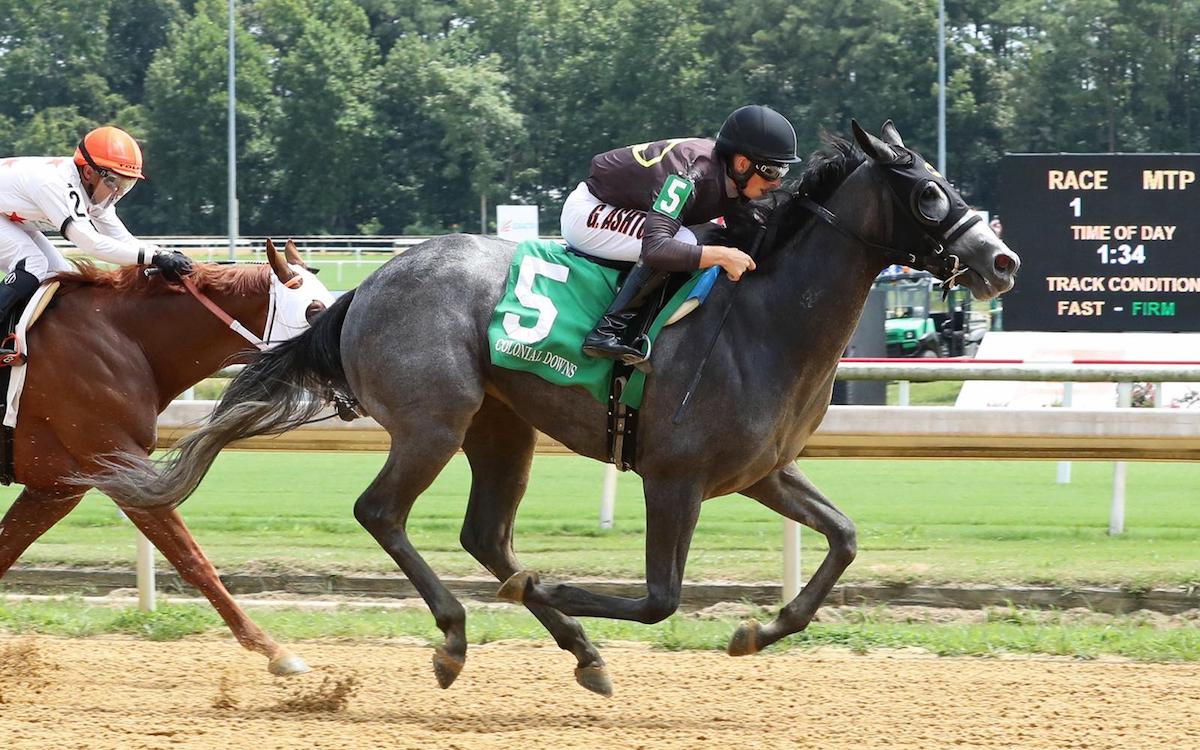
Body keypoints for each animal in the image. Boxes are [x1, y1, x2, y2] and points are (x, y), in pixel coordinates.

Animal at [0, 240, 333, 672]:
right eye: (314, 310)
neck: (125, 338)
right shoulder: (119, 466)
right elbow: (192, 559)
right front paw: (277, 651)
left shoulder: (55, 489)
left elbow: (5, 551)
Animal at [87, 120, 1022, 691]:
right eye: (928, 194)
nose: (1003, 261)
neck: (764, 323)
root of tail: (369, 285)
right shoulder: (674, 479)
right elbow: (660, 597)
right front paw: (566, 586)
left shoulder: (760, 472)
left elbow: (844, 538)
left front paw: (760, 630)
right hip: (435, 420)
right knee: (382, 512)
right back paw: (460, 635)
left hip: (503, 427)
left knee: (483, 535)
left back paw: (572, 644)